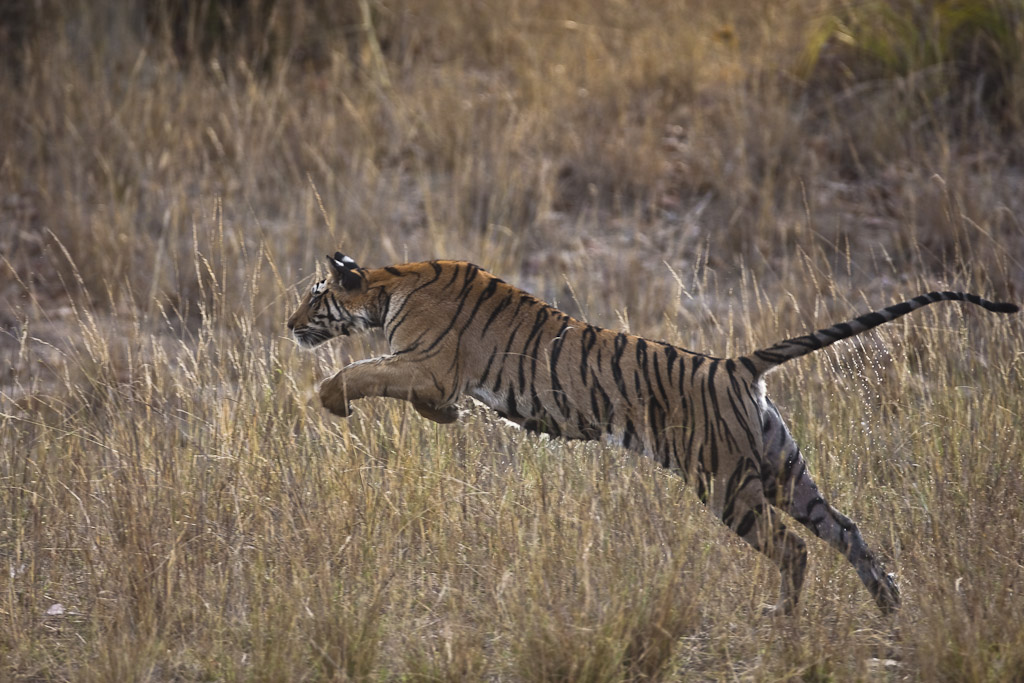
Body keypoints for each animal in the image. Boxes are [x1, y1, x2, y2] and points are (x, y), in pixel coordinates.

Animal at [286, 253, 1015, 618]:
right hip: (786, 472)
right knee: (846, 528)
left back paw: (782, 619)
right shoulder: (433, 375)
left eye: (314, 295)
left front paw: (332, 401)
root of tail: (735, 364)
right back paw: (890, 603)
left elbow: (358, 371)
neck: (388, 284)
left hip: (726, 485)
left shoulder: (428, 365)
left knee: (794, 549)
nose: (289, 324)